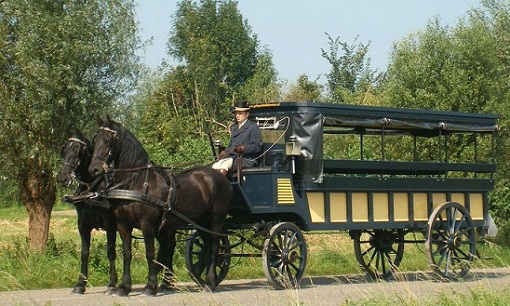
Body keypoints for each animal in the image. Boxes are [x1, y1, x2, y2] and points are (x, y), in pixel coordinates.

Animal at [56, 130, 117, 296]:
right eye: (65, 149)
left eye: (78, 150)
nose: (62, 177)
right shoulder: (83, 224)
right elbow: (84, 253)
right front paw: (80, 284)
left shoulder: (110, 225)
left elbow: (110, 252)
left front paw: (112, 284)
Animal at [88, 116, 233, 296]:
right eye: (95, 140)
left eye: (108, 140)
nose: (93, 169)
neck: (136, 182)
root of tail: (220, 177)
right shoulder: (123, 225)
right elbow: (127, 254)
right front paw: (124, 287)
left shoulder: (147, 224)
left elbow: (150, 254)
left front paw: (150, 286)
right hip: (201, 221)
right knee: (207, 246)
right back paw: (203, 280)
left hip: (216, 219)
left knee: (214, 246)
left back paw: (210, 283)